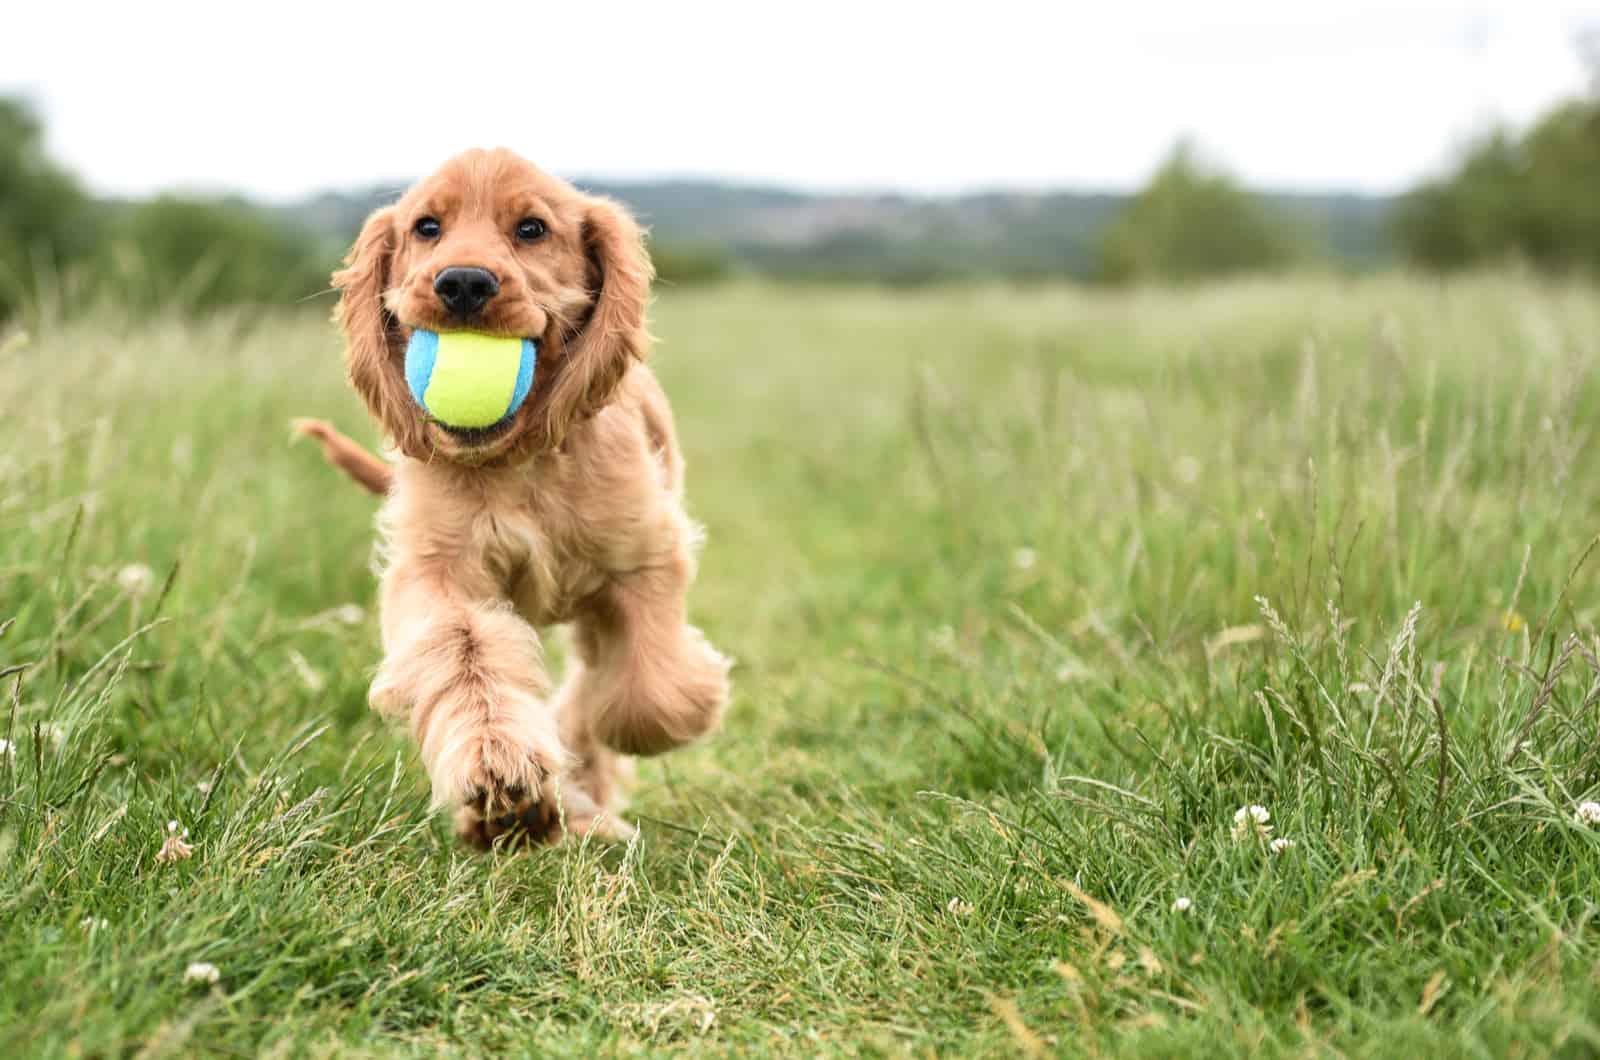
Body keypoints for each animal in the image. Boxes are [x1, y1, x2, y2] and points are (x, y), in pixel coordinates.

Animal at [294, 147, 732, 845]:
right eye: (426, 227)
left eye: (532, 229)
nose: (463, 284)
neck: (518, 461)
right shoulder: (439, 571)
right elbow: (464, 653)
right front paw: (500, 778)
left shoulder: (642, 555)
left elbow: (645, 694)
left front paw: (653, 720)